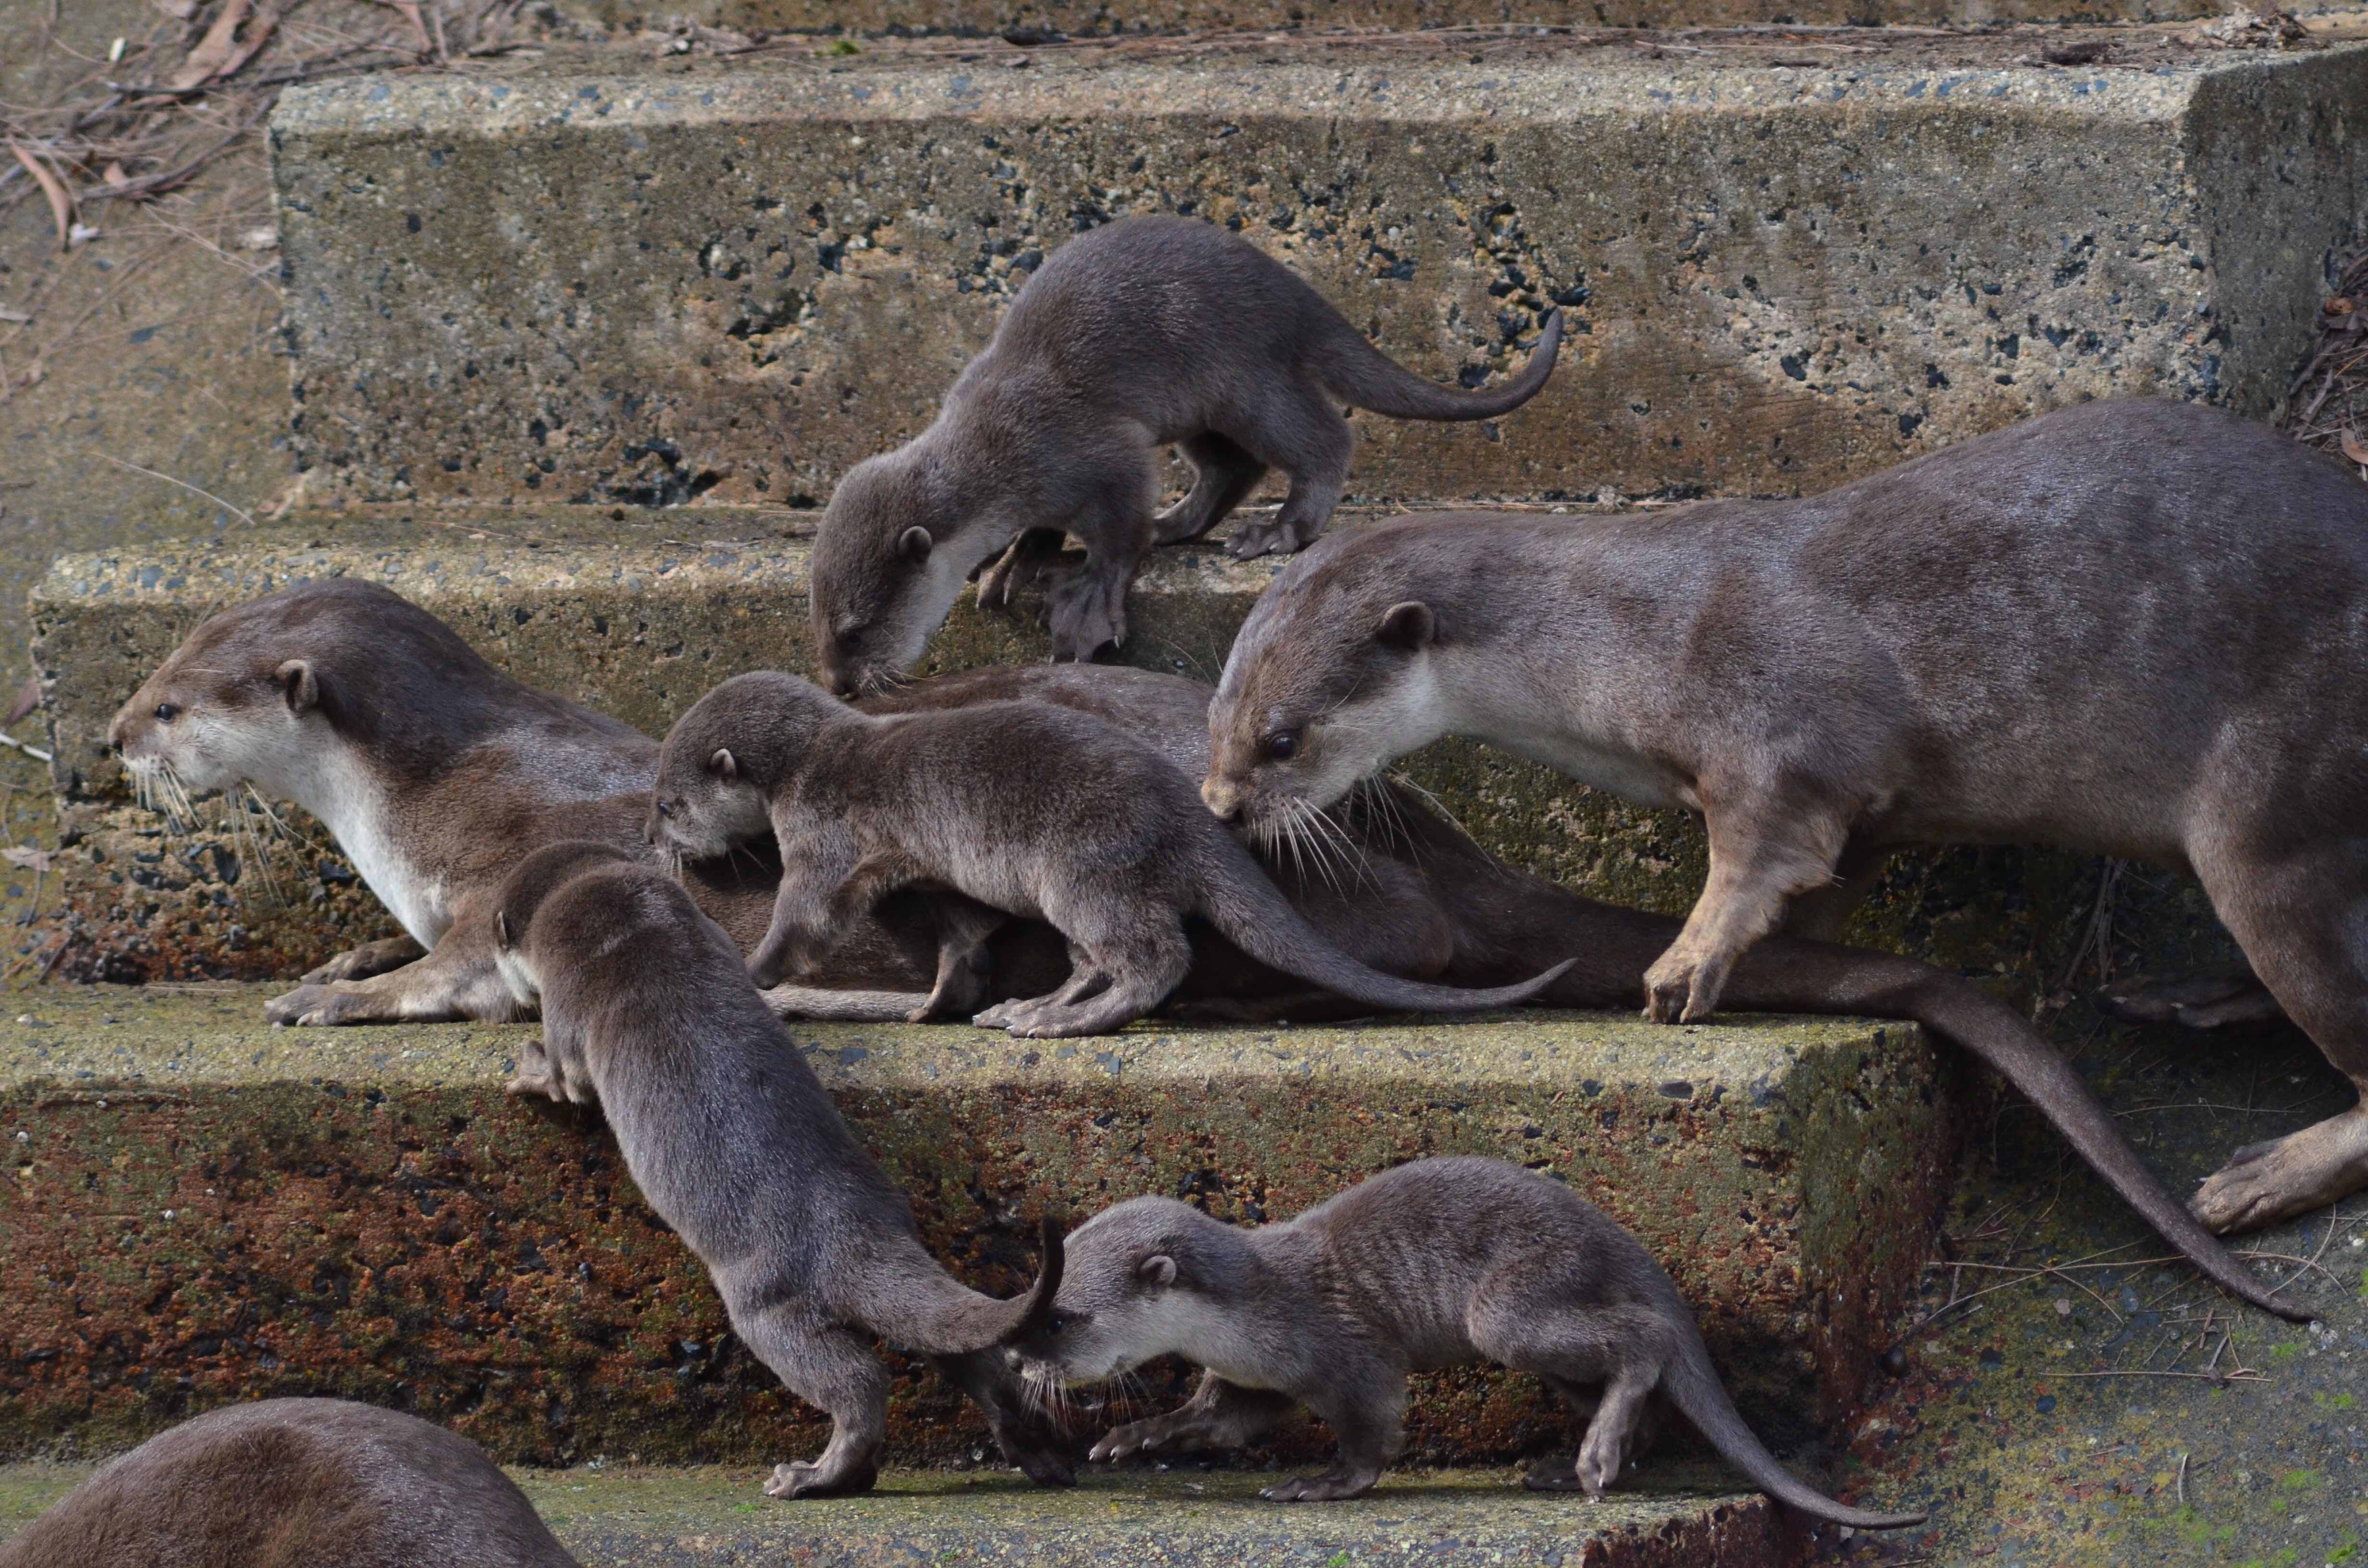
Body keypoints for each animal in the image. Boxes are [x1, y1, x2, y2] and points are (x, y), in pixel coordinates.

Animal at [490, 843, 1075, 1506]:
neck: (622, 911)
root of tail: (860, 1235)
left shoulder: (566, 993)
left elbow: (568, 1079)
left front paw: (528, 1069)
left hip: (768, 1304)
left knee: (858, 1381)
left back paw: (814, 1476)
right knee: (967, 1353)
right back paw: (1034, 1452)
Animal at [649, 668, 1572, 1037]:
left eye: (667, 801)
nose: (653, 842)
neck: (816, 754)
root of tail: (1190, 821)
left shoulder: (820, 833)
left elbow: (805, 916)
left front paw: (755, 970)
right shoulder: (925, 867)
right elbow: (963, 923)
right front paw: (953, 988)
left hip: (1082, 870)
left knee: (1155, 957)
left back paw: (1073, 1020)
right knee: (1099, 955)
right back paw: (1036, 1005)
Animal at [805, 213, 1563, 686]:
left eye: (853, 632)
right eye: (820, 625)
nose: (839, 685)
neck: (995, 449)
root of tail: (1299, 297)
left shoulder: (1089, 448)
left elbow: (1118, 527)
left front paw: (1088, 593)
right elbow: (1046, 527)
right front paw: (1014, 564)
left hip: (1247, 376)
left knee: (1321, 437)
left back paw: (1280, 530)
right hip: (1202, 407)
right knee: (1232, 467)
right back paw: (1179, 527)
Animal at [1009, 1160, 1932, 1525]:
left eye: (1059, 1316)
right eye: (1028, 1304)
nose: (1015, 1360)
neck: (1250, 1313)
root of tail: (1620, 1241)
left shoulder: (1348, 1352)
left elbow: (1371, 1431)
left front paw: (1322, 1482)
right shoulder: (1254, 1379)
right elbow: (1219, 1419)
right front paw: (1134, 1436)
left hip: (1514, 1306)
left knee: (1647, 1338)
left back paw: (1594, 1455)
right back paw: (1573, 1463)